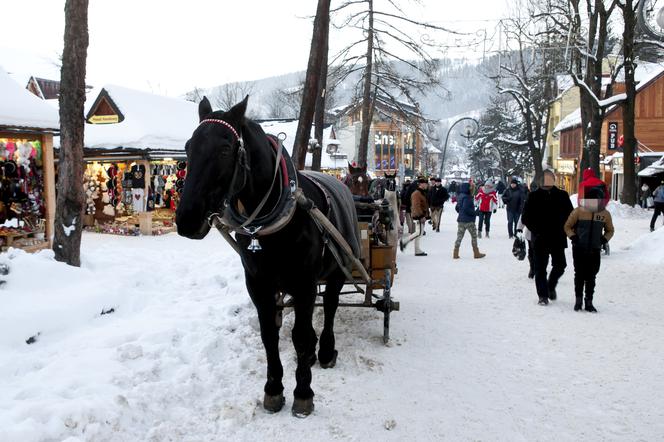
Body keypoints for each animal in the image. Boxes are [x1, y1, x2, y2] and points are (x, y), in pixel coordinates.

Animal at [176, 95, 352, 416]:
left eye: (225, 149)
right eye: (188, 147)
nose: (187, 219)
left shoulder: (305, 283)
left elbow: (299, 335)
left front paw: (303, 393)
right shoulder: (258, 283)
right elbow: (269, 334)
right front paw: (273, 388)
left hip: (337, 270)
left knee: (331, 305)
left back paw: (324, 350)